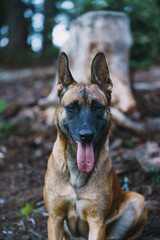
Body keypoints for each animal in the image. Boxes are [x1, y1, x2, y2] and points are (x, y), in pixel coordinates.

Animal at [43, 51, 146, 239]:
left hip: (138, 200)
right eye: (72, 108)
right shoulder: (54, 219)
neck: (77, 172)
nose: (86, 135)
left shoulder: (97, 221)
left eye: (97, 108)